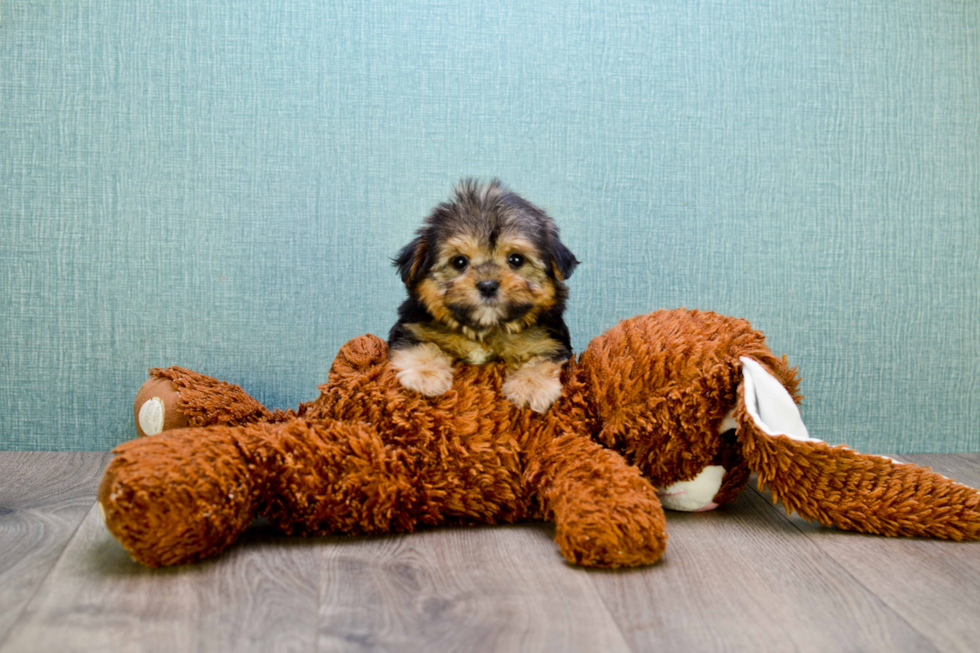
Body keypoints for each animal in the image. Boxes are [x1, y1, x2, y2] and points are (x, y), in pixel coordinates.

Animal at [386, 178, 580, 412]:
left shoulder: (549, 340)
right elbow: (422, 344)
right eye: (459, 262)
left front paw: (531, 386)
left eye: (516, 259)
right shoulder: (411, 326)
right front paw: (425, 375)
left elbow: (540, 359)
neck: (484, 330)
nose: (487, 286)